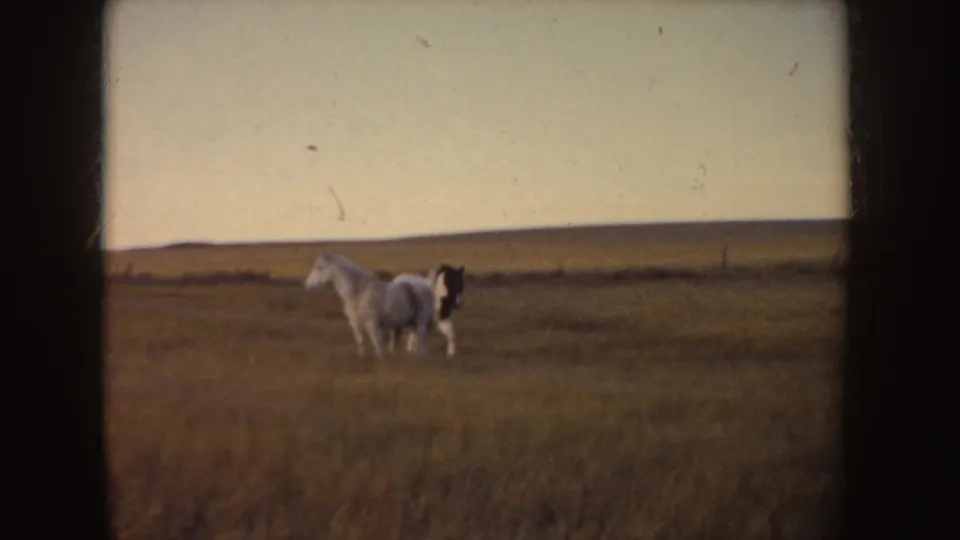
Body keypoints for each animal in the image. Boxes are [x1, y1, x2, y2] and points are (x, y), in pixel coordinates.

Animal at [303, 253, 436, 359]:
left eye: (320, 268)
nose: (308, 285)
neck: (358, 292)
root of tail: (427, 287)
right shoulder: (355, 323)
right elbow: (361, 341)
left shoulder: (372, 323)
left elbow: (377, 343)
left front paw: (382, 361)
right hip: (411, 324)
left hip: (420, 323)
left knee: (422, 341)